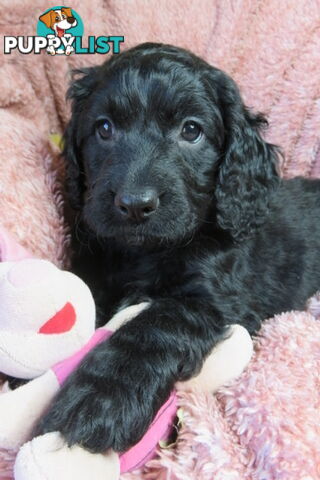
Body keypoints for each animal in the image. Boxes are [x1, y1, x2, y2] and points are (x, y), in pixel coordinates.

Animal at [36, 43, 320, 452]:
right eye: (104, 128)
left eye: (191, 130)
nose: (134, 204)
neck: (145, 253)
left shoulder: (214, 301)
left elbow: (155, 326)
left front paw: (99, 399)